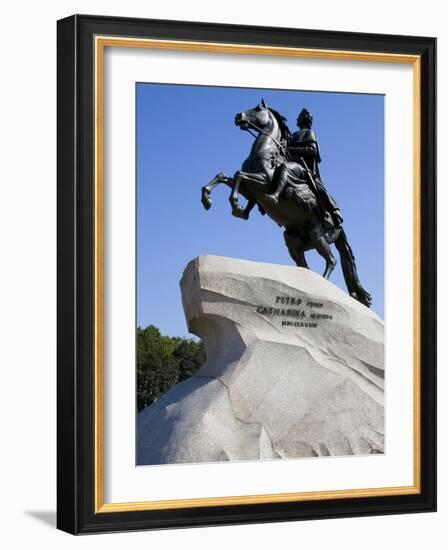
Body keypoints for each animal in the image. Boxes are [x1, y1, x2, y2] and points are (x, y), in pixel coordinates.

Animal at [201, 98, 372, 306]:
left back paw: (321, 287)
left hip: (318, 235)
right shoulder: (249, 190)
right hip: (293, 240)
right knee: (305, 265)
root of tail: (340, 227)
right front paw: (208, 199)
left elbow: (239, 175)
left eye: (257, 109)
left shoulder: (264, 182)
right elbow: (224, 176)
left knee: (331, 261)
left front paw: (236, 206)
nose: (238, 116)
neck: (266, 151)